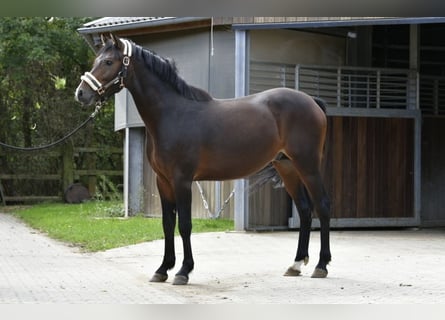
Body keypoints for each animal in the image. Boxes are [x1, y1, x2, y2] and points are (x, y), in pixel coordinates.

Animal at [74, 34, 330, 284]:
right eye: (96, 60)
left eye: (108, 62)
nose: (81, 93)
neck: (172, 114)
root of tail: (312, 101)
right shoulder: (163, 181)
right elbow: (167, 224)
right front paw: (162, 269)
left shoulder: (182, 180)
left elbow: (185, 225)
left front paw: (183, 271)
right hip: (287, 167)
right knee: (305, 210)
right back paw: (296, 265)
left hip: (308, 166)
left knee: (322, 206)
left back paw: (321, 265)